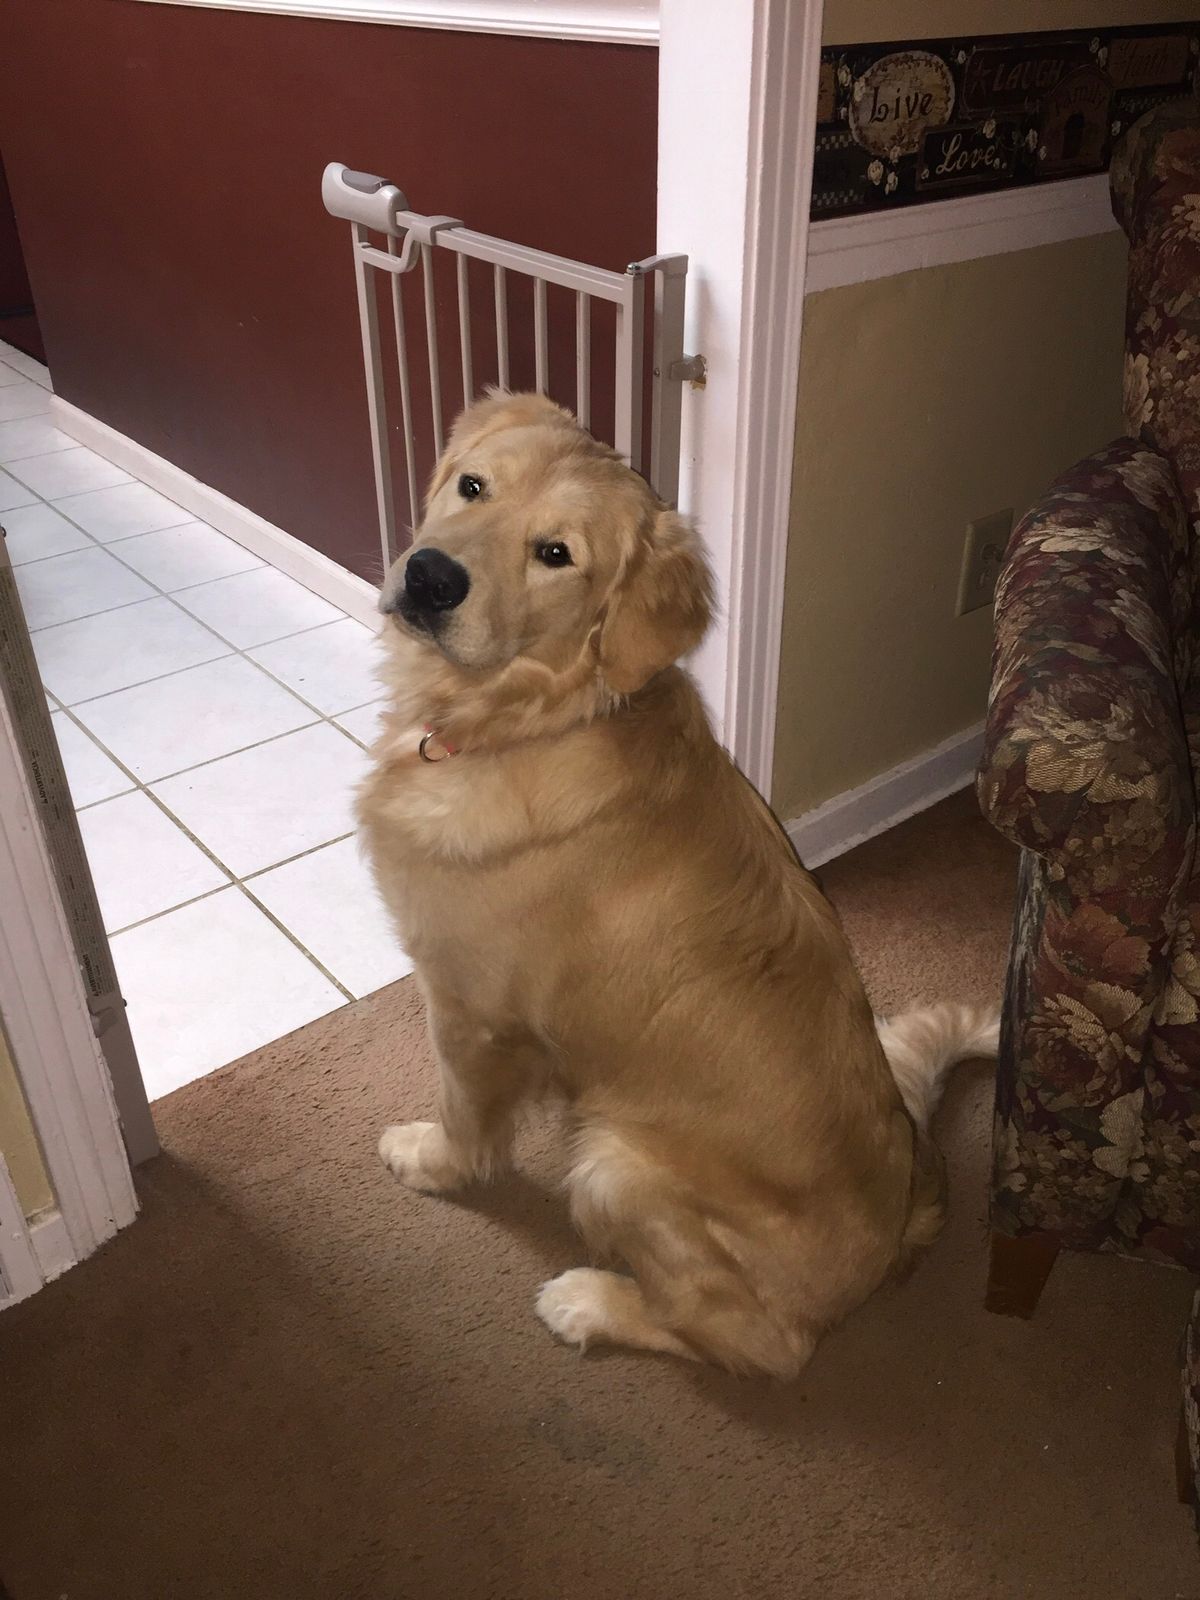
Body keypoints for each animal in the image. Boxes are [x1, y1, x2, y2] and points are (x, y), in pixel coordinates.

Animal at [359, 391, 998, 1378]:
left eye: (555, 553)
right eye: (472, 486)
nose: (429, 579)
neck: (535, 719)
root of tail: (905, 1218)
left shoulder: (469, 1007)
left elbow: (464, 1114)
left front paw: (433, 1161)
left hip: (615, 1164)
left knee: (756, 1343)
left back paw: (588, 1301)